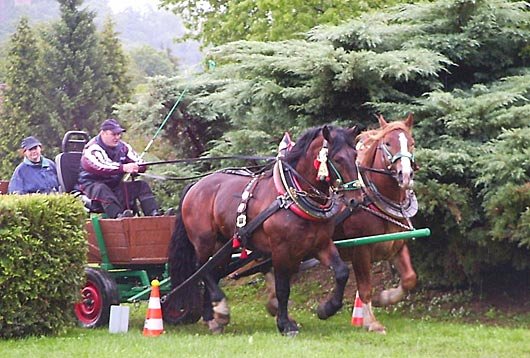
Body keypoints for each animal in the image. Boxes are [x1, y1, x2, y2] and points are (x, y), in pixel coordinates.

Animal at [167, 124, 360, 336]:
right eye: (338, 158)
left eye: (355, 155)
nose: (356, 199)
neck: (291, 197)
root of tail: (195, 185)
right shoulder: (280, 250)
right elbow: (283, 288)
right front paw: (285, 324)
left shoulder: (320, 244)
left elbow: (342, 272)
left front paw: (327, 309)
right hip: (204, 241)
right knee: (201, 269)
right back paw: (221, 310)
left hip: (223, 245)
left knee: (213, 273)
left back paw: (213, 317)